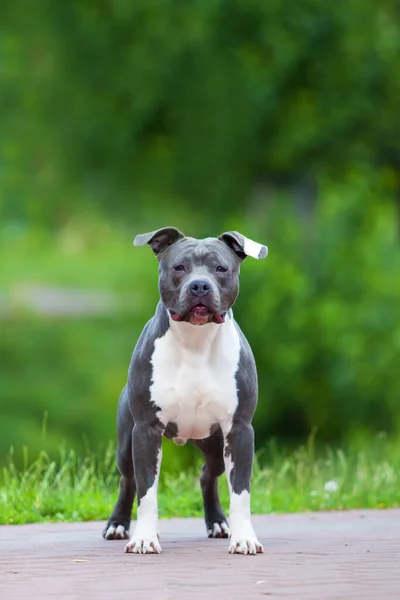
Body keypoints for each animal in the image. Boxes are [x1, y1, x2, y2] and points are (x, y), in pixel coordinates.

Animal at [101, 227, 268, 556]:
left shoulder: (240, 430)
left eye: (221, 268)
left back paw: (218, 523)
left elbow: (241, 491)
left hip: (215, 445)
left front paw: (244, 538)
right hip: (126, 444)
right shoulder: (146, 430)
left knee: (207, 475)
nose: (200, 285)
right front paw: (144, 538)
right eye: (179, 267)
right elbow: (147, 491)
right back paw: (118, 525)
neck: (196, 341)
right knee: (128, 482)